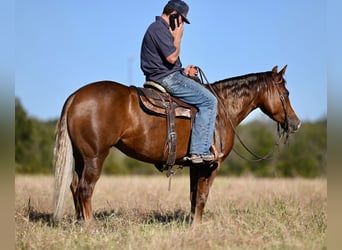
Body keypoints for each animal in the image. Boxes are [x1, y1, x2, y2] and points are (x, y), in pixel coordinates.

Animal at [52, 65, 300, 226]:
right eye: (286, 93)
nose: (296, 123)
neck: (222, 109)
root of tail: (75, 97)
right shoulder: (211, 166)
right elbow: (202, 196)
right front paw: (197, 228)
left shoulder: (195, 166)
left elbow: (193, 197)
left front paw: (191, 225)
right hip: (95, 156)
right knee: (85, 188)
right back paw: (90, 226)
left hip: (81, 157)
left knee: (74, 186)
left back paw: (79, 223)